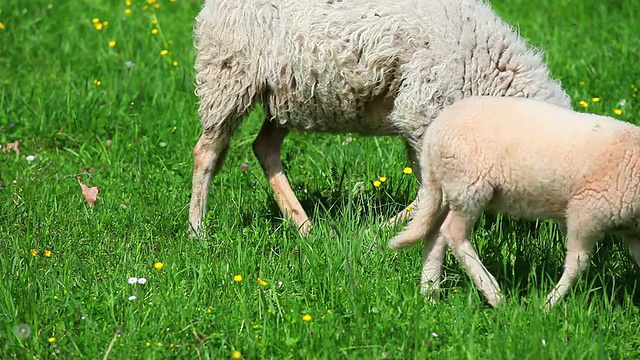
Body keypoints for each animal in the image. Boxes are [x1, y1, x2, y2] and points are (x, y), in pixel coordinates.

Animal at [189, 0, 568, 239]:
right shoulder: (422, 112)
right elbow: (429, 196)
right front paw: (379, 235)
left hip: (289, 91)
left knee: (264, 146)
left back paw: (305, 228)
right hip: (229, 72)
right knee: (206, 152)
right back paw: (198, 230)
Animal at [388, 95, 640, 310]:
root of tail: (434, 132)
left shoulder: (631, 230)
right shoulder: (586, 211)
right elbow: (577, 264)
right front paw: (547, 306)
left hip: (453, 187)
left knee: (436, 234)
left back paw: (430, 294)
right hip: (470, 185)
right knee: (453, 232)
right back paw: (494, 294)